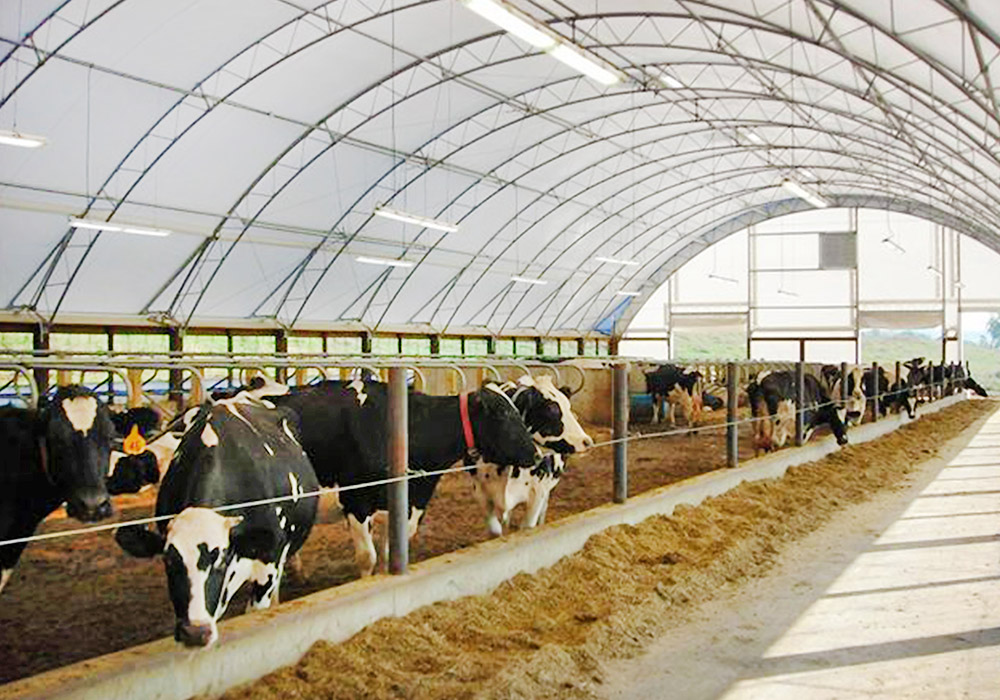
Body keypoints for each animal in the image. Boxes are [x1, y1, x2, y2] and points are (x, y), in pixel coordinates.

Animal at [260, 382, 540, 576]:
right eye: (503, 414)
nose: (537, 455)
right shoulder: (356, 501)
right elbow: (368, 557)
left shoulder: (402, 504)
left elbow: (386, 554)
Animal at [468, 378, 592, 536]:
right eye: (551, 409)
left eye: (568, 406)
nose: (587, 441)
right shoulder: (479, 492)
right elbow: (495, 531)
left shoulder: (538, 493)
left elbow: (527, 528)